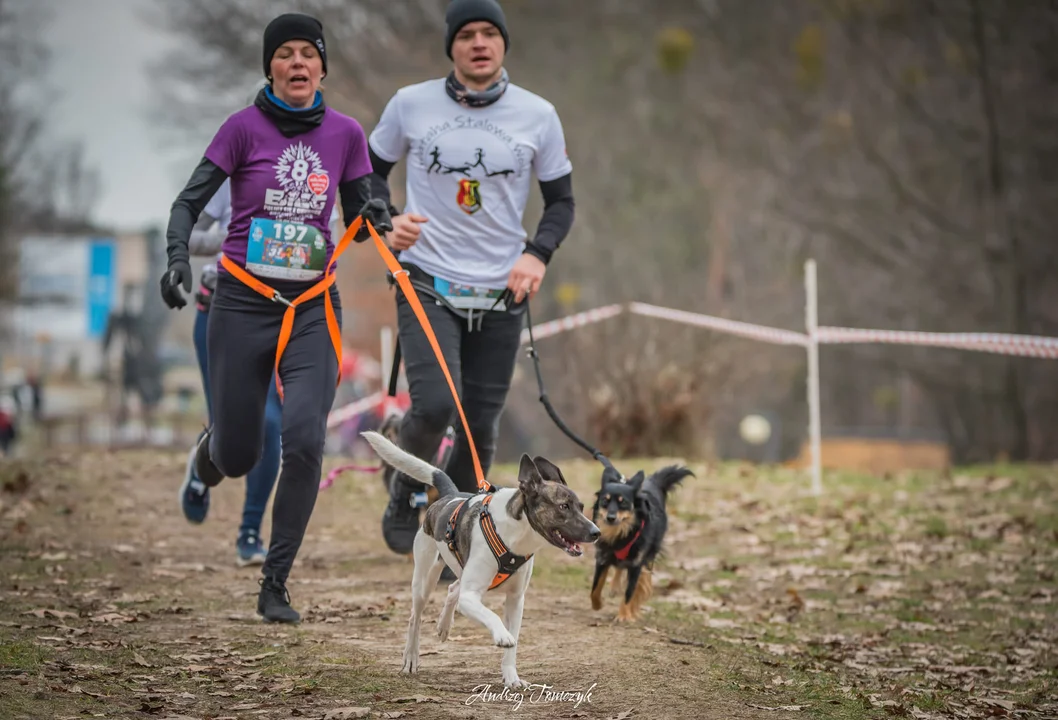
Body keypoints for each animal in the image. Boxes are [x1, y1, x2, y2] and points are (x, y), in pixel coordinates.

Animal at [361, 429, 596, 689]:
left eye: (581, 506)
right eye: (563, 507)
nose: (596, 532)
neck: (515, 534)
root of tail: (450, 495)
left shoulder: (516, 600)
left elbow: (512, 644)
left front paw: (511, 677)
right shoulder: (470, 597)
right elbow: (492, 616)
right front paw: (502, 635)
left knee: (453, 589)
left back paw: (444, 625)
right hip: (424, 579)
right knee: (416, 616)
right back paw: (411, 657)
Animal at [588, 463, 694, 621]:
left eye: (623, 502)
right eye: (605, 501)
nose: (610, 518)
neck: (620, 533)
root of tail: (653, 482)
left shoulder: (636, 564)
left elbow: (629, 592)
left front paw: (624, 615)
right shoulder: (602, 558)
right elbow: (595, 588)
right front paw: (597, 604)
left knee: (641, 577)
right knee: (620, 567)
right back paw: (615, 587)